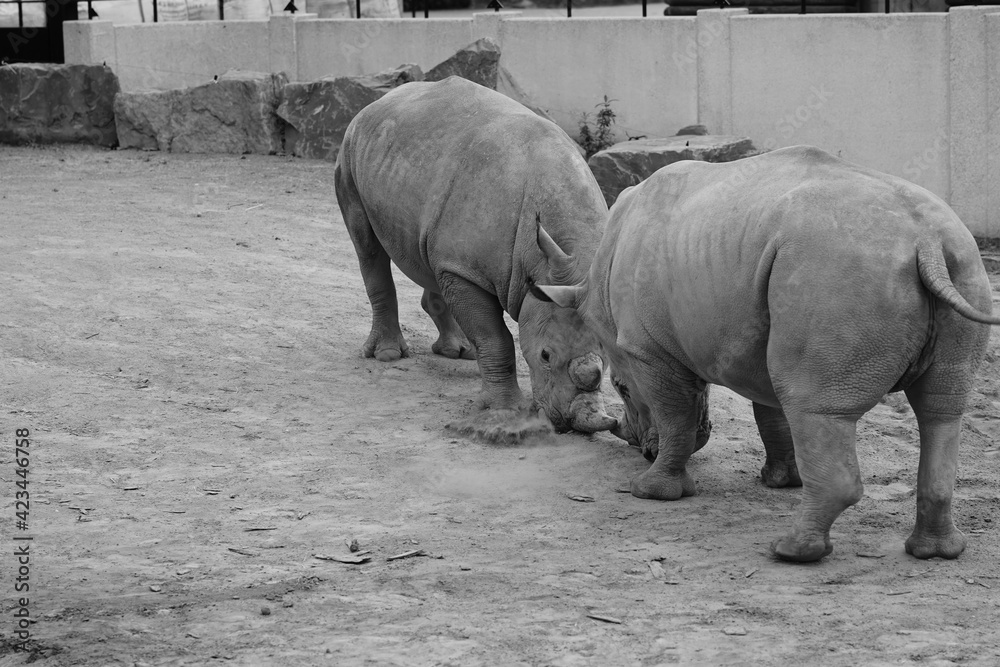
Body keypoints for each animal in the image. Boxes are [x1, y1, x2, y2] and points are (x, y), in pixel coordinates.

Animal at [335, 77, 616, 434]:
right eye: (545, 356)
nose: (570, 424)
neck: (539, 265)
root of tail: (376, 104)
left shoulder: (466, 264)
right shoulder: (467, 270)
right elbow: (496, 338)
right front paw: (508, 411)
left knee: (432, 260)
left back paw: (460, 351)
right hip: (350, 150)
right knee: (368, 247)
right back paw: (387, 356)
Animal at [532, 145, 1000, 562]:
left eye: (621, 387)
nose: (632, 442)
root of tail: (927, 241)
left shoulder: (648, 350)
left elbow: (675, 414)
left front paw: (653, 490)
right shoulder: (747, 334)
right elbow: (769, 410)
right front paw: (779, 481)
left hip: (837, 272)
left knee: (817, 406)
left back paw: (789, 552)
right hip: (959, 264)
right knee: (939, 410)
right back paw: (936, 552)